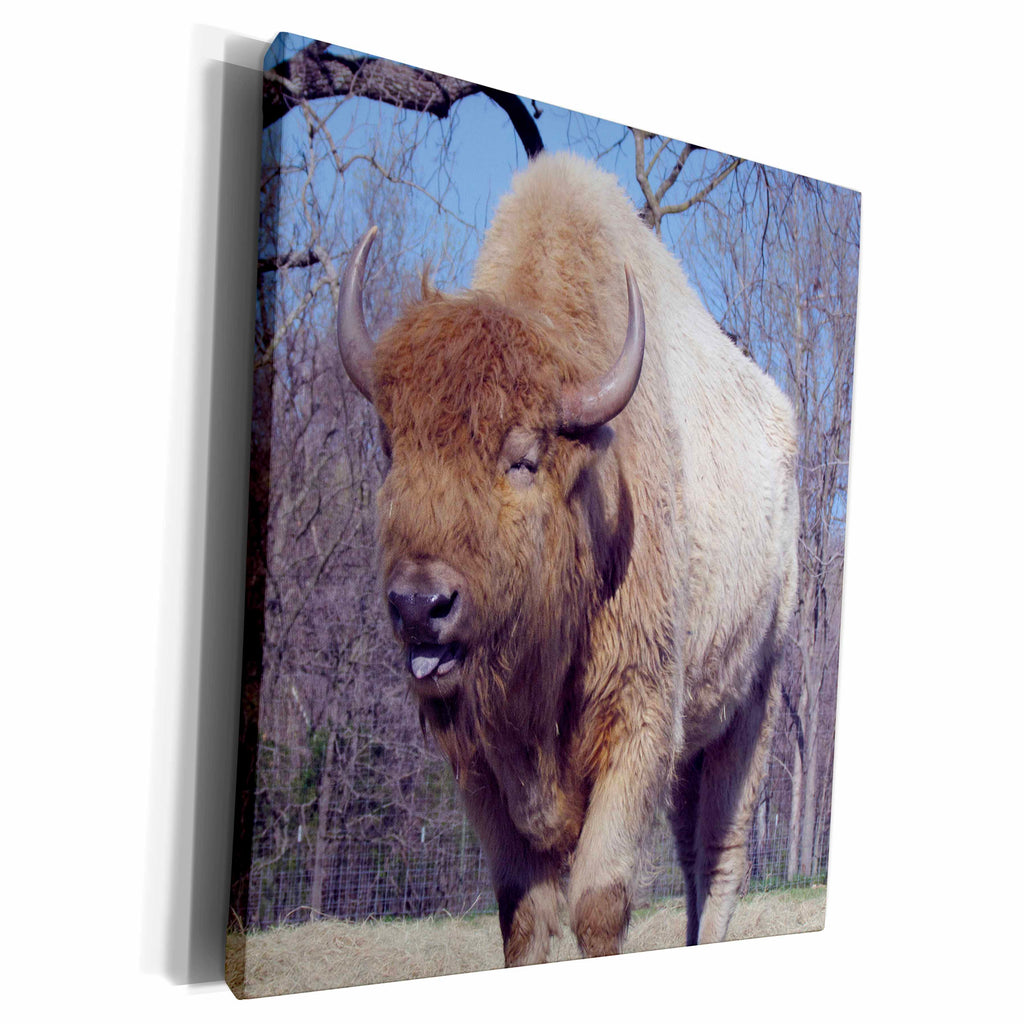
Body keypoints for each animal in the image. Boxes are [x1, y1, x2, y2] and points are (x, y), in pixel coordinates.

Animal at [336, 152, 798, 965]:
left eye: (523, 459)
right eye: (393, 449)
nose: (420, 604)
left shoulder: (639, 725)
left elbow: (599, 904)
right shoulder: (479, 763)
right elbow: (522, 913)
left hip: (753, 704)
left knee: (720, 860)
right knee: (692, 859)